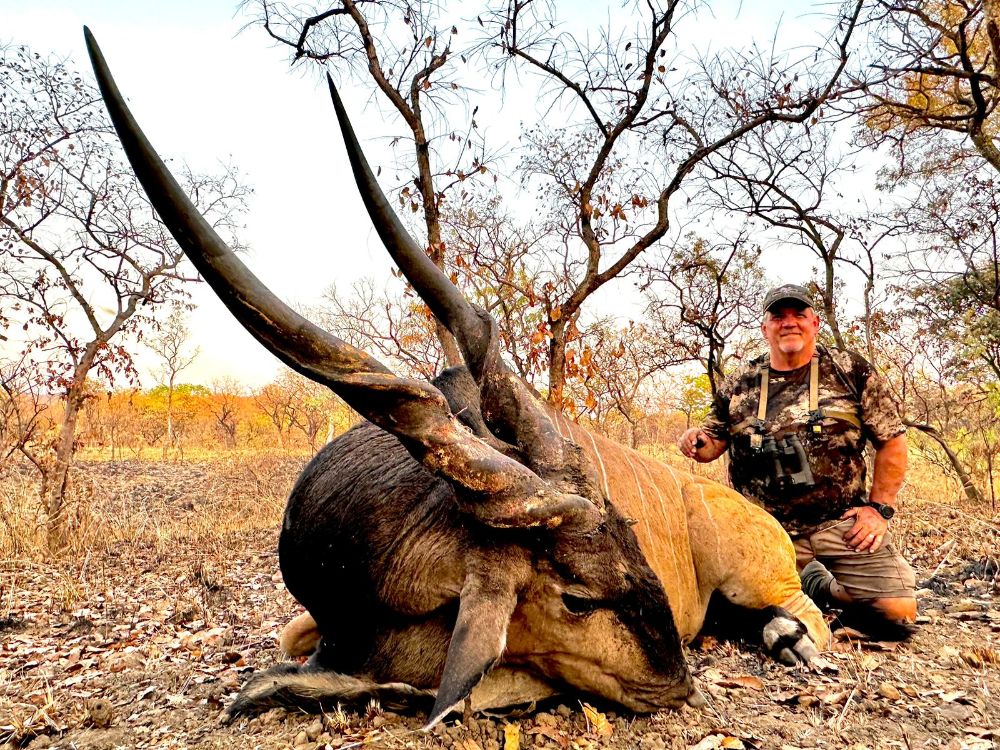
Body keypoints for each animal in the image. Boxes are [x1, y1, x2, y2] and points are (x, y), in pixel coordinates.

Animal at [84, 28, 828, 729]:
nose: (677, 684)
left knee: (811, 615)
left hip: (757, 577)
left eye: (637, 547)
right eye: (577, 597)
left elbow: (449, 690)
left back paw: (793, 637)